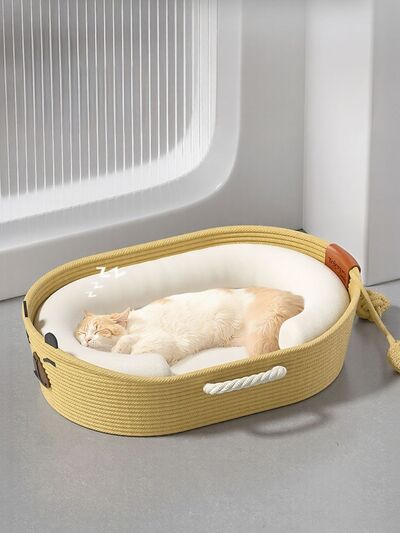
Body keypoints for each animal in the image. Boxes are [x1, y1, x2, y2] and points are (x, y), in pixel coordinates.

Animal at [75, 288, 304, 364]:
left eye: (99, 329)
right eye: (82, 332)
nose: (87, 338)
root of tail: (296, 298)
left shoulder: (163, 341)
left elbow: (131, 344)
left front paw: (121, 347)